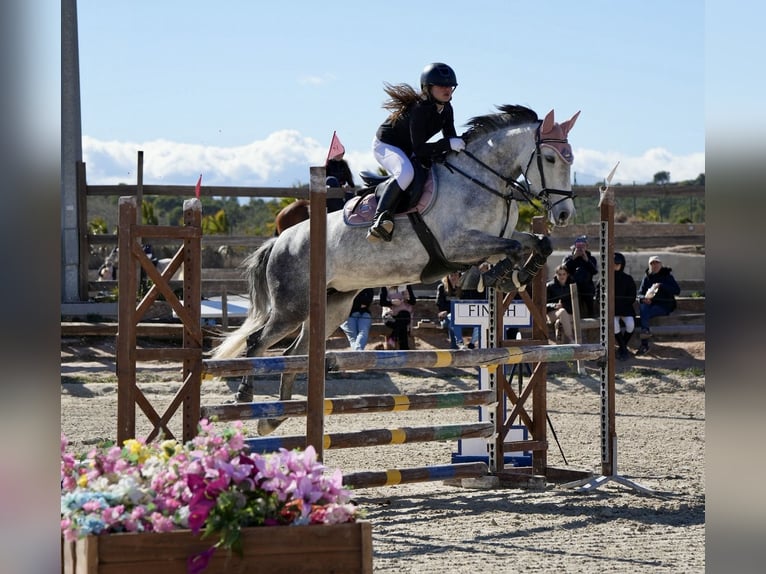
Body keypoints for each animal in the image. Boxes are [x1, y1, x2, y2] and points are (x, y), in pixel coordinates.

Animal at [212, 104, 579, 435]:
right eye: (550, 159)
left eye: (570, 158)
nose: (564, 215)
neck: (482, 182)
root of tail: (280, 241)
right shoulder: (457, 245)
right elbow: (511, 249)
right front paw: (493, 276)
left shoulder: (499, 235)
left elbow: (538, 243)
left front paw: (515, 275)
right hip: (292, 307)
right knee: (258, 343)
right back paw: (246, 399)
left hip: (333, 305)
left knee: (294, 353)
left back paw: (273, 418)